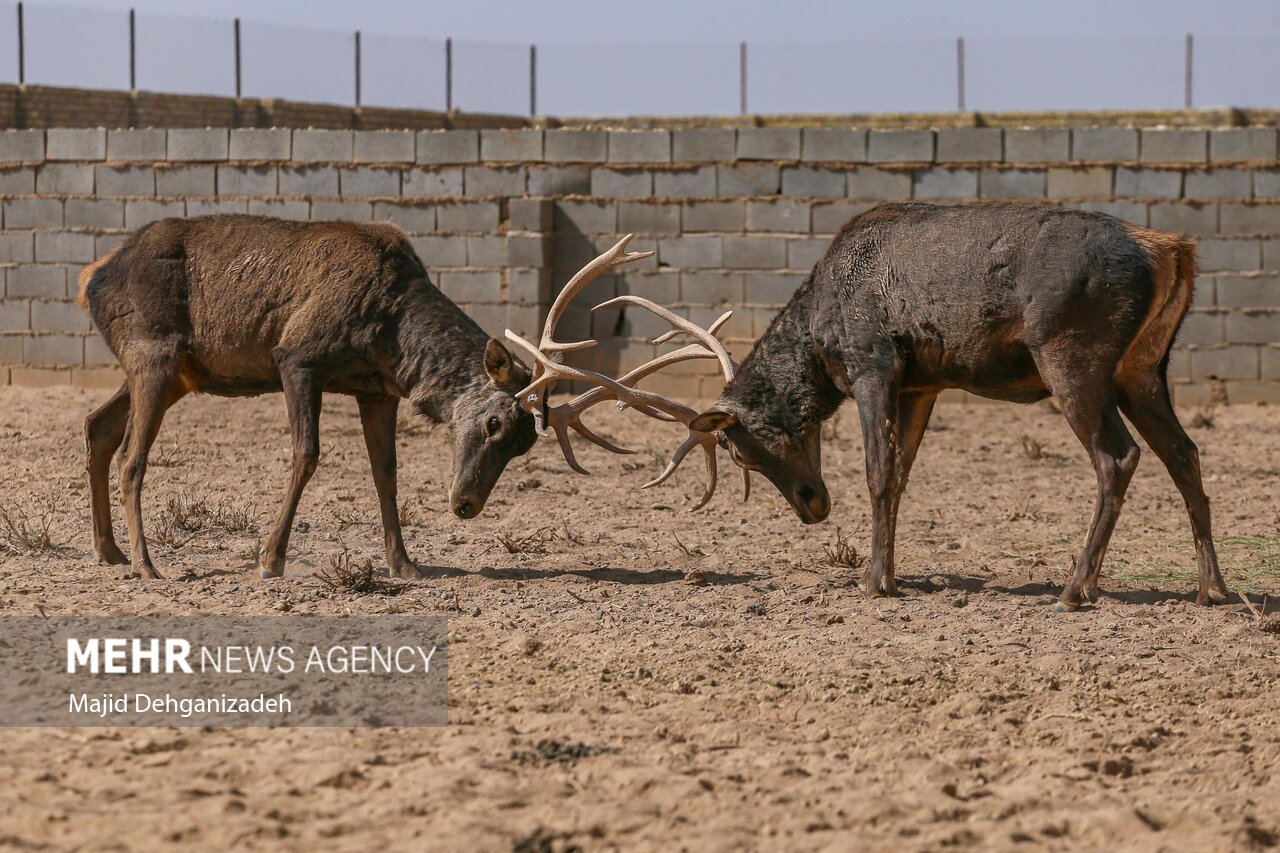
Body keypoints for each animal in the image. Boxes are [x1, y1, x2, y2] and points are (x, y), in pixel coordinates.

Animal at [82, 216, 732, 581]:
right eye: (495, 424)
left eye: (525, 446)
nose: (466, 504)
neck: (391, 333)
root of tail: (92, 276)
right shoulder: (298, 356)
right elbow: (307, 455)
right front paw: (269, 560)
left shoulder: (378, 390)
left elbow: (385, 472)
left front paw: (405, 564)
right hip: (154, 352)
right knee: (132, 454)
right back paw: (146, 564)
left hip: (178, 372)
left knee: (96, 425)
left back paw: (108, 552)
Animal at [696, 202, 1233, 607]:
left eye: (740, 452)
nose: (812, 506)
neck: (816, 336)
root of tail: (1170, 251)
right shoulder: (921, 385)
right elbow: (900, 473)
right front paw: (890, 576)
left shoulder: (872, 361)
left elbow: (877, 471)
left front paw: (872, 582)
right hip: (1142, 369)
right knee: (1184, 452)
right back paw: (1212, 587)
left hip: (1072, 354)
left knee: (1118, 456)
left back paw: (1076, 588)